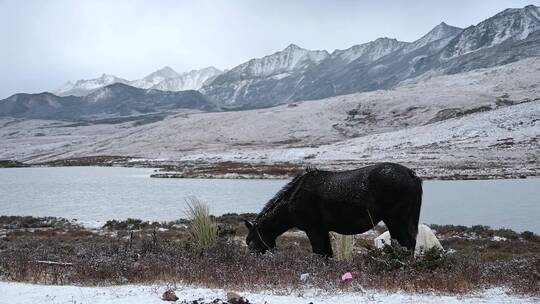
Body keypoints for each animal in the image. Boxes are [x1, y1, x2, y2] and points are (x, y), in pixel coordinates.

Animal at [245, 162, 422, 256]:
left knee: (406, 243)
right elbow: (326, 254)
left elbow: (319, 252)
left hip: (396, 220)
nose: (252, 258)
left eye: (250, 242)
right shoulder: (322, 230)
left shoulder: (313, 229)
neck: (294, 199)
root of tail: (412, 174)